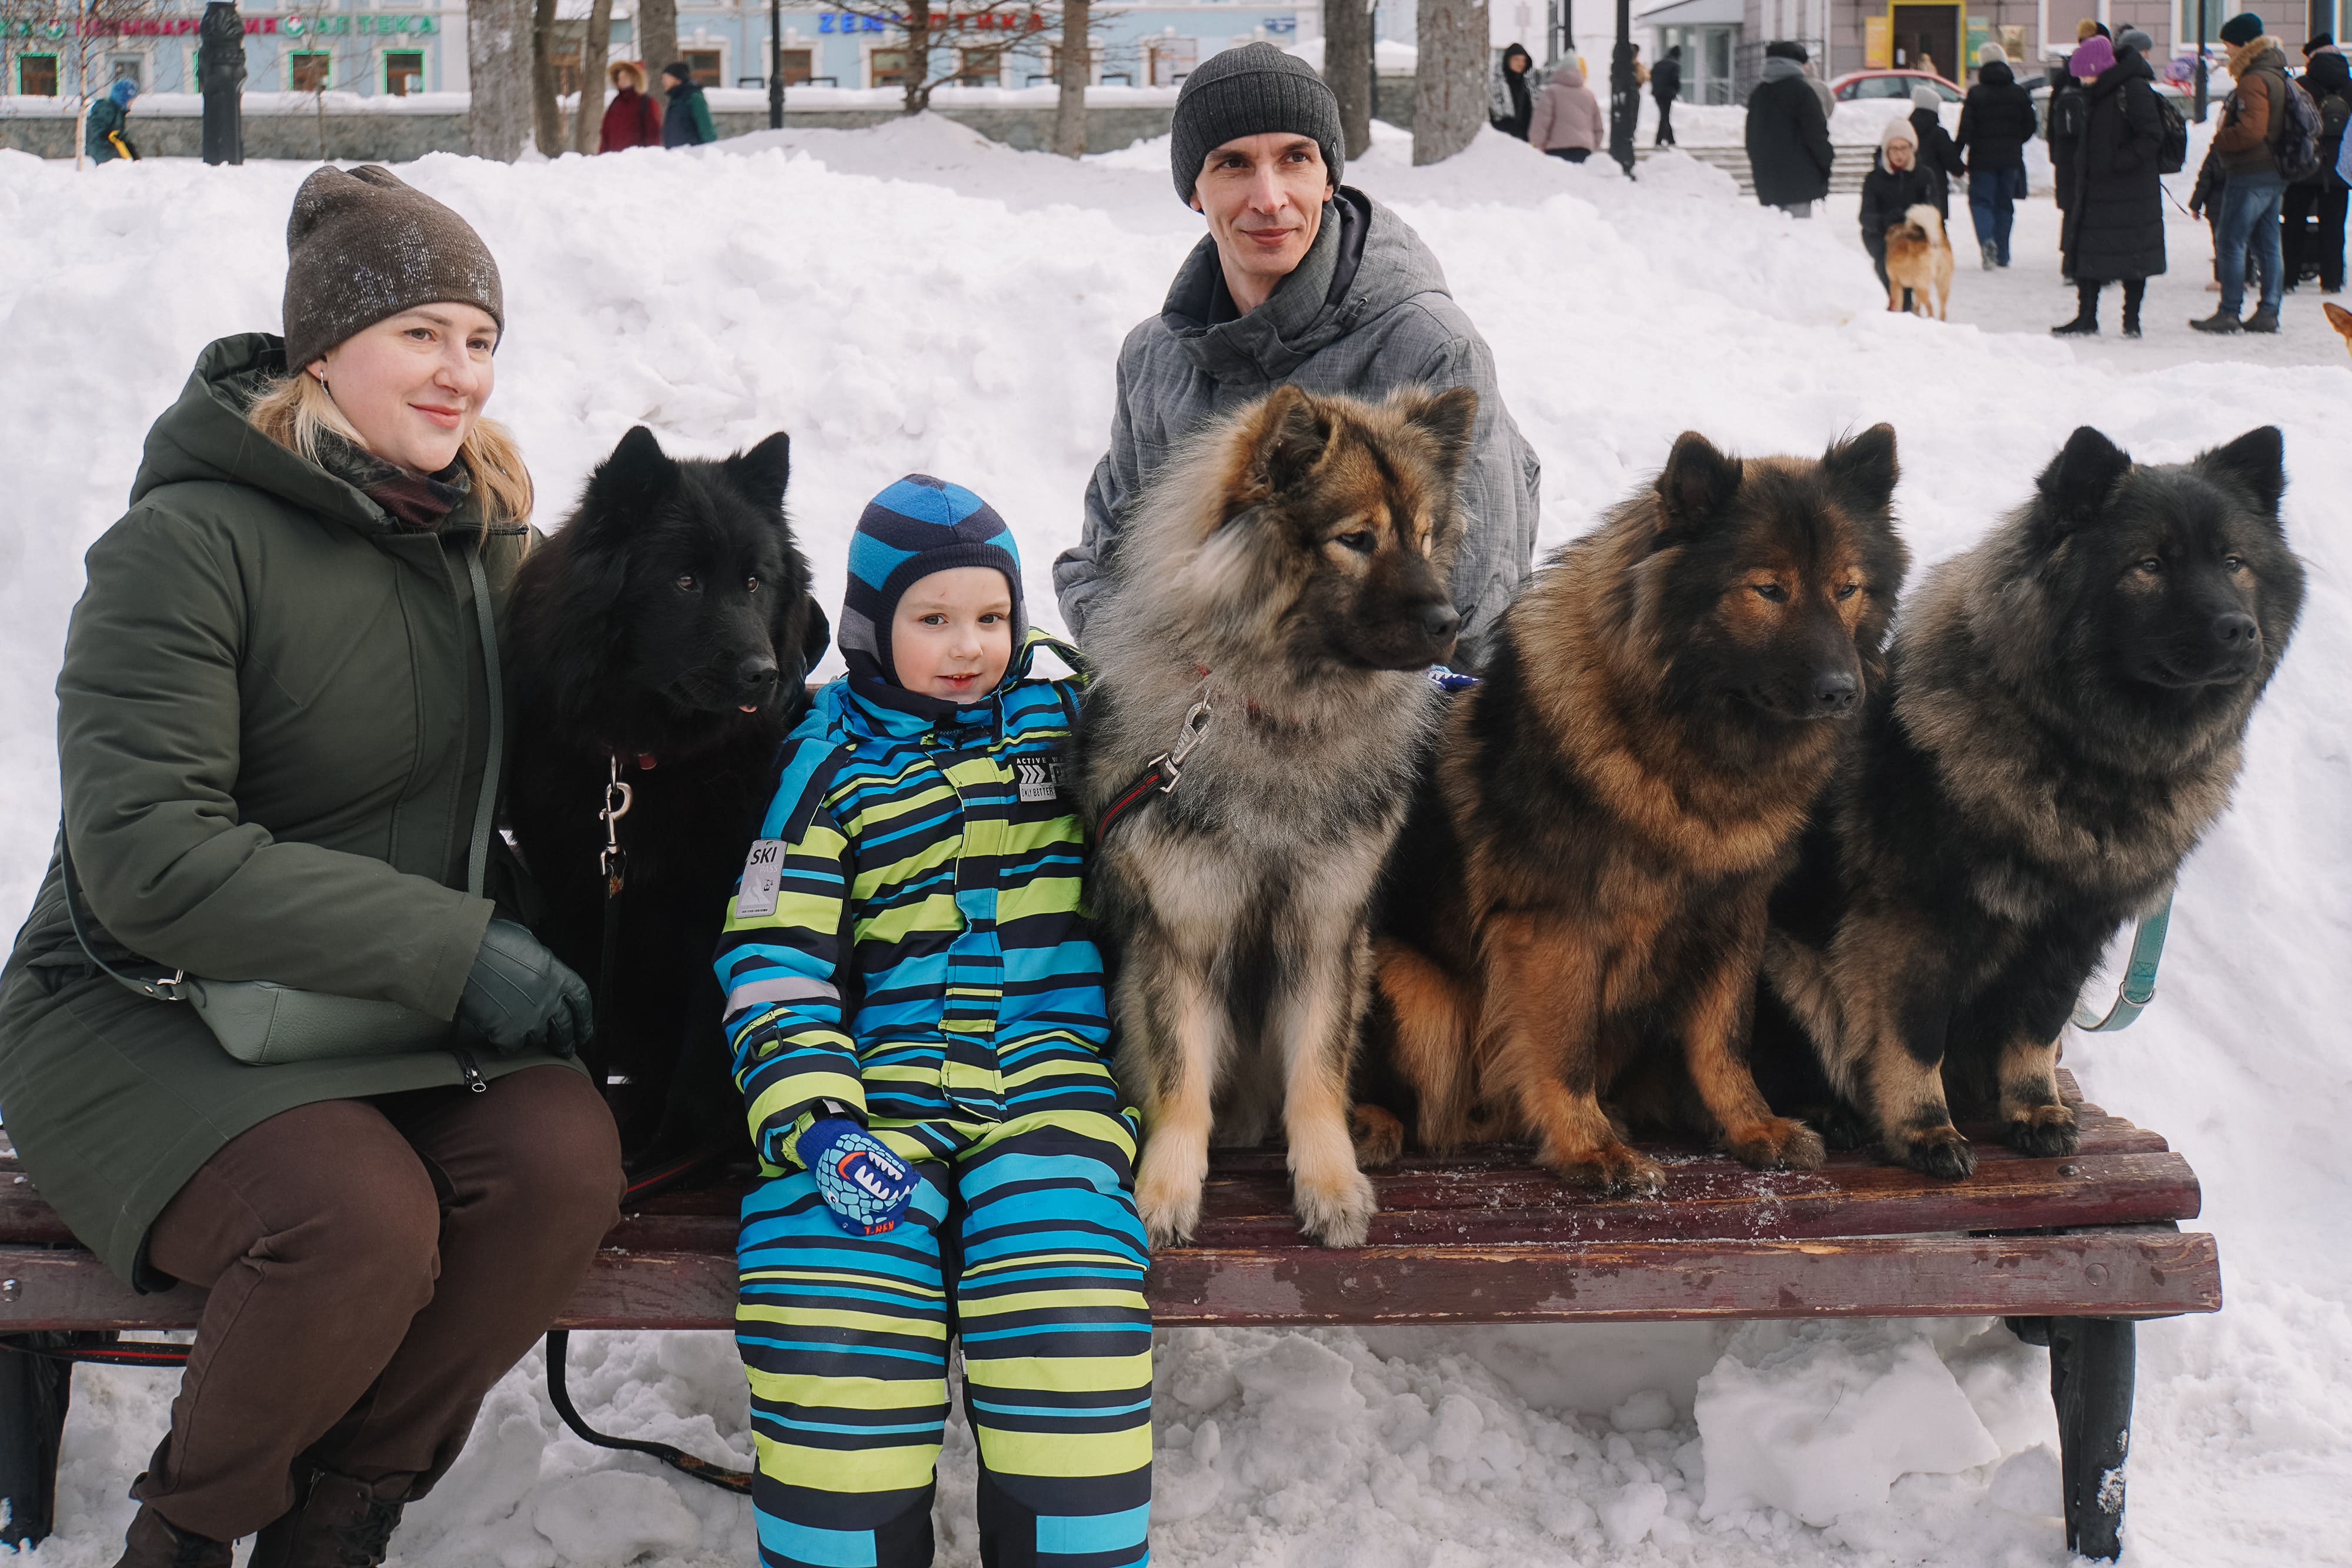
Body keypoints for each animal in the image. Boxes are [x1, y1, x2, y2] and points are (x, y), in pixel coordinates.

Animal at [506, 430, 828, 1166]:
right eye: (685, 581)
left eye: (753, 581)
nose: (764, 673)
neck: (649, 762)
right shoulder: (584, 904)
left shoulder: (721, 913)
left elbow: (704, 1055)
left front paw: (678, 1148)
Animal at [1077, 383, 1477, 1251]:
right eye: (1356, 539)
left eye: (1427, 537)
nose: (1451, 621)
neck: (1284, 714)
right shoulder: (1180, 934)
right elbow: (1182, 1077)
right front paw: (1166, 1189)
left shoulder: (1326, 931)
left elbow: (1316, 1075)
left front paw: (1329, 1182)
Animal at [1364, 425, 1910, 1189]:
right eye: (1769, 590)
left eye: (1846, 589)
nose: (1843, 691)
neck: (1691, 747)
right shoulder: (1558, 926)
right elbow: (1565, 1047)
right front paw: (1590, 1148)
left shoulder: (1733, 919)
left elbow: (1724, 1040)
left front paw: (1753, 1125)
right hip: (1416, 990)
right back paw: (1372, 1123)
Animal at [1882, 206, 1957, 319]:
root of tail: (1934, 244)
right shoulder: (1914, 287)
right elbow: (1916, 304)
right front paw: (1915, 313)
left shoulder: (1895, 283)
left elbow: (1897, 303)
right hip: (1942, 283)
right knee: (1943, 310)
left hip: (1922, 286)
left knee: (1930, 306)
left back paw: (1930, 319)